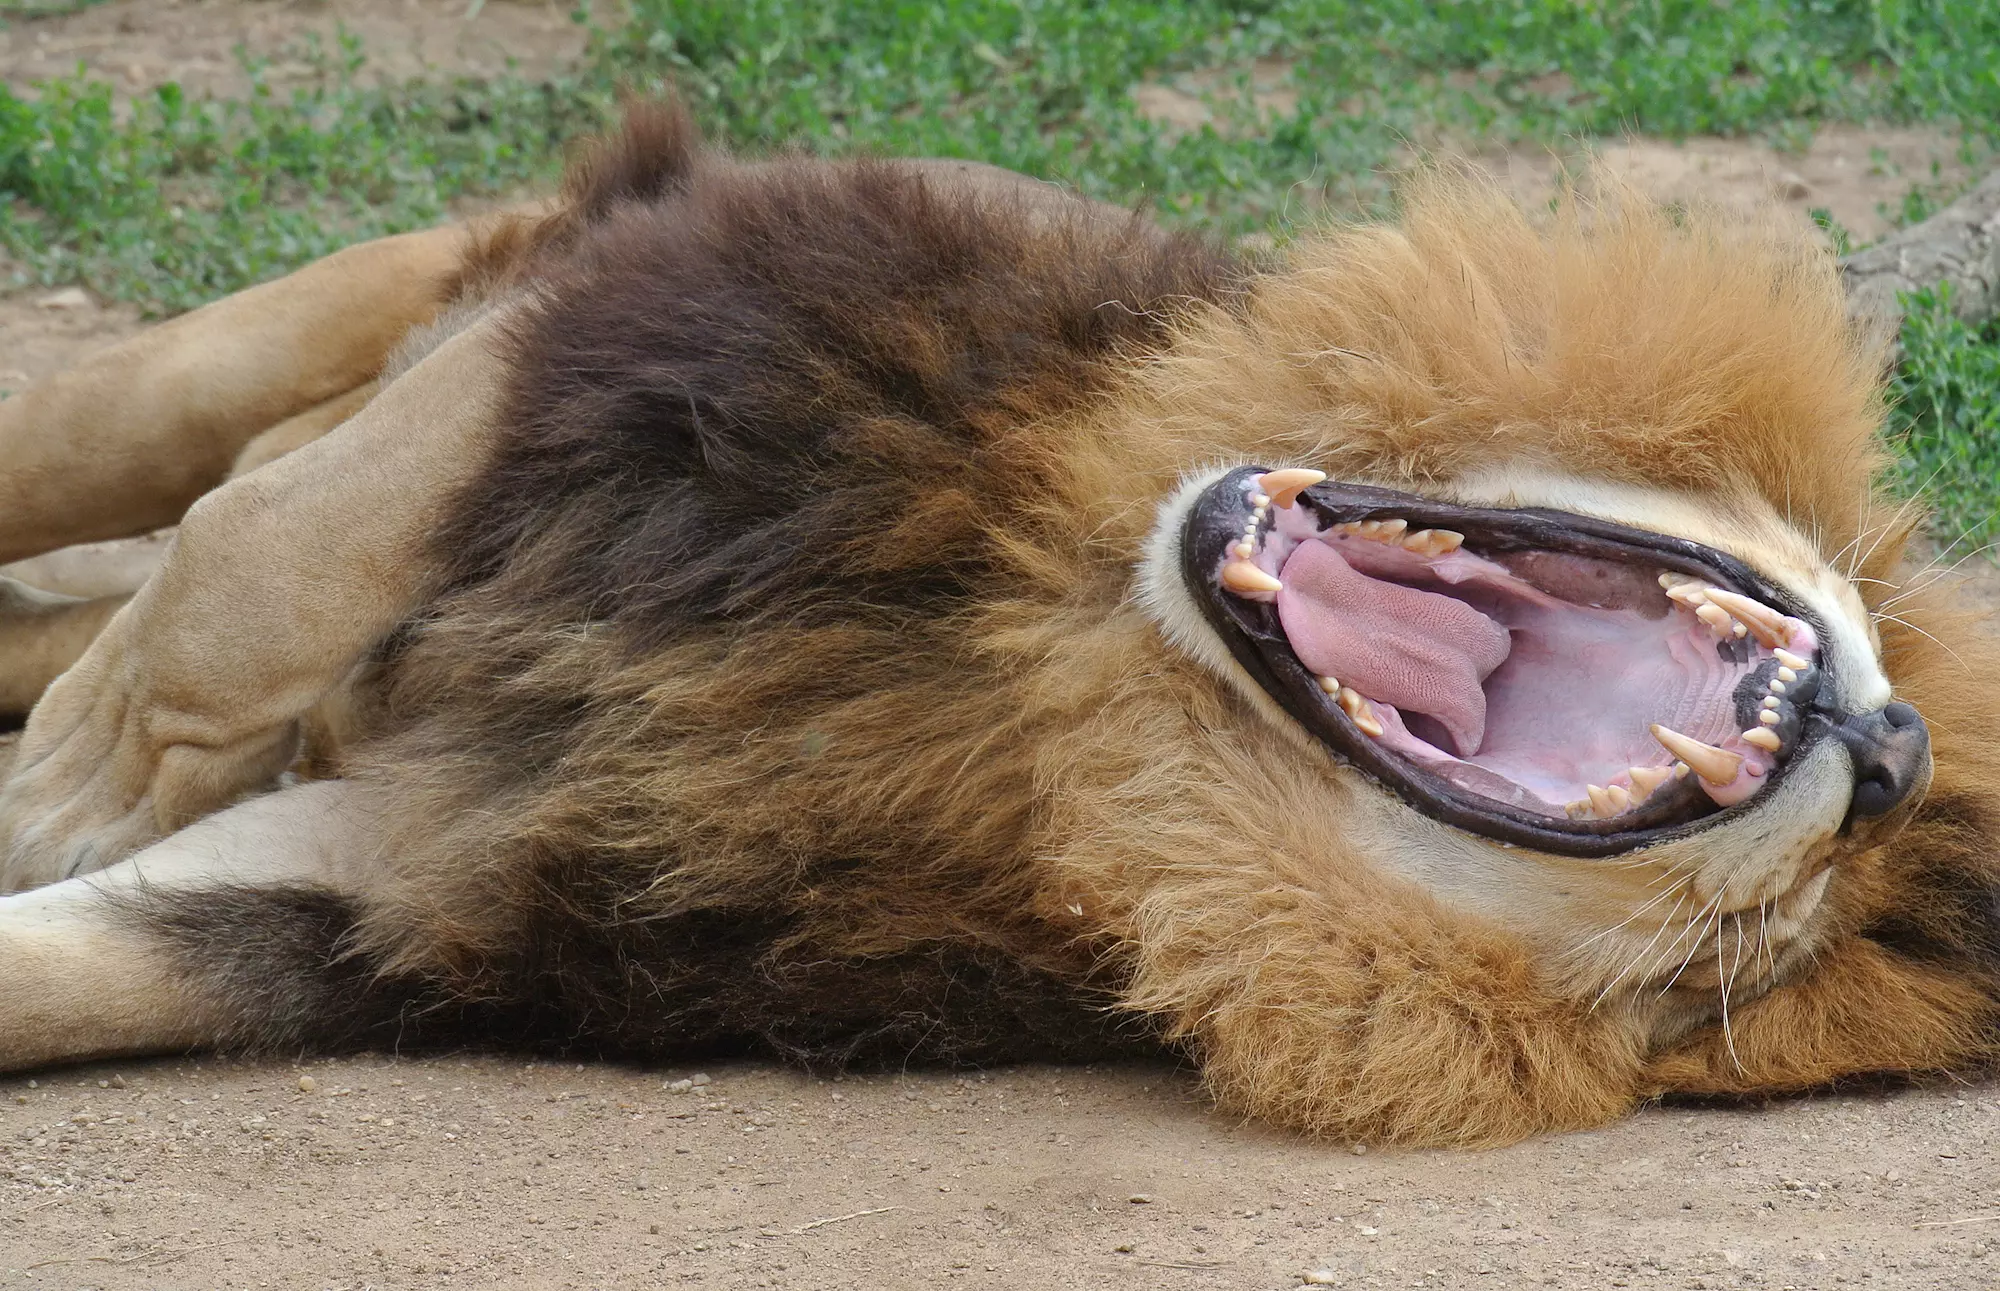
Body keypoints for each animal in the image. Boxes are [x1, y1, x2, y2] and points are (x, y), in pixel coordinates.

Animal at [3, 103, 2000, 1151]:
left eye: (1754, 942)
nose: (1893, 754)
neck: (1060, 655)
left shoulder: (424, 868)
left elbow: (85, 958)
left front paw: (63, 808)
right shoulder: (699, 286)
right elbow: (268, 553)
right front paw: (72, 779)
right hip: (341, 309)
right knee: (168, 456)